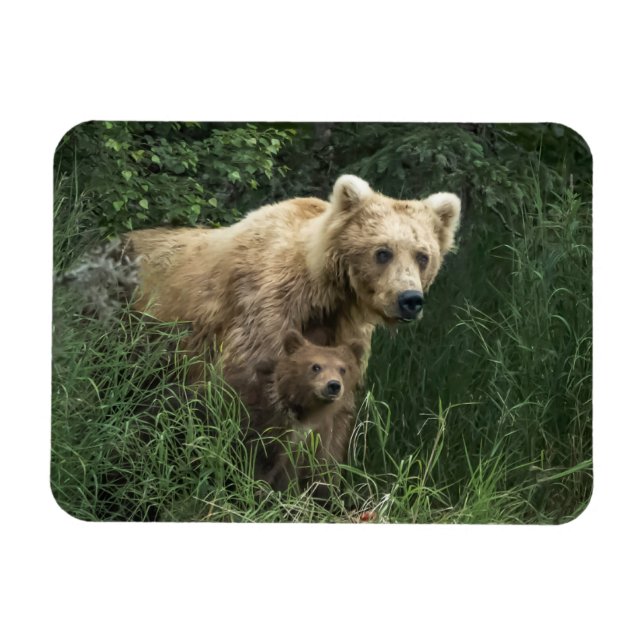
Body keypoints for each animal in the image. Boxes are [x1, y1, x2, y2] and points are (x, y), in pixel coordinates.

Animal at [123, 174, 461, 384]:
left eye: (422, 256)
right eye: (383, 252)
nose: (410, 300)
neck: (325, 293)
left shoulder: (340, 329)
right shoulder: (265, 314)